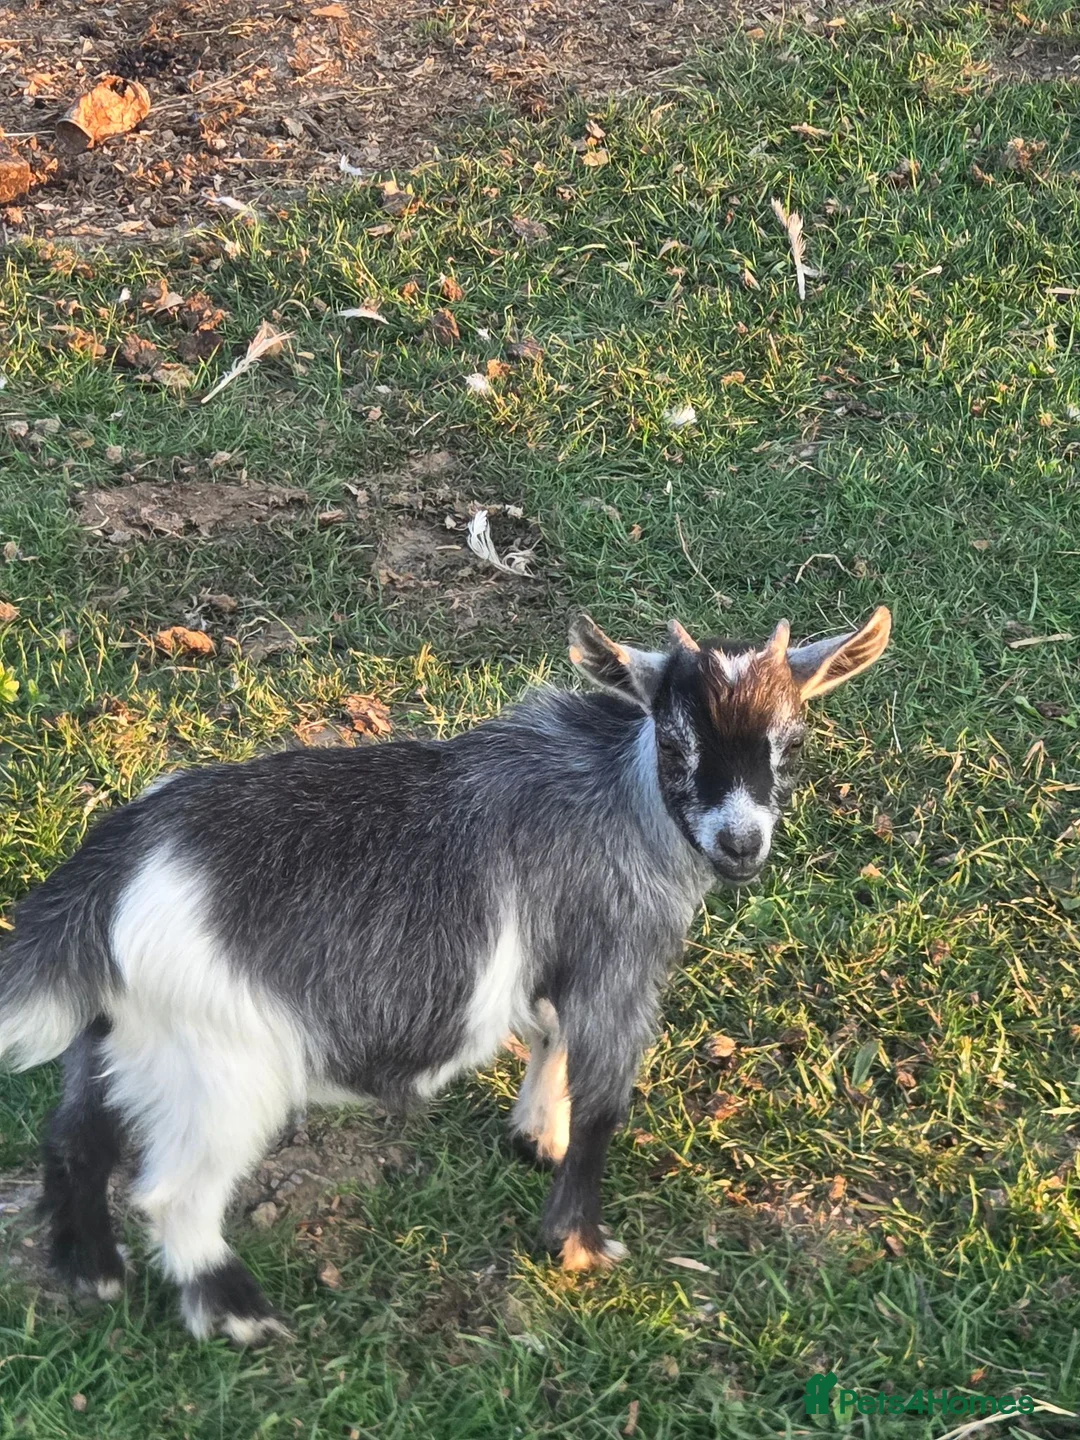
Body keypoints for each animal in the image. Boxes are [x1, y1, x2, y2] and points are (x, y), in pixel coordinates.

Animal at [0, 606, 891, 1342]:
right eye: (676, 744)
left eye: (790, 744)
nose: (741, 843)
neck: (620, 796)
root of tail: (116, 866)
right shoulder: (619, 956)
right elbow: (603, 1096)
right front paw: (578, 1242)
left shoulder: (549, 955)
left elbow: (548, 1028)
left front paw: (536, 1134)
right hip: (224, 1062)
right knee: (174, 1191)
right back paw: (236, 1312)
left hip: (117, 1028)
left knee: (74, 1133)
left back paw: (92, 1272)